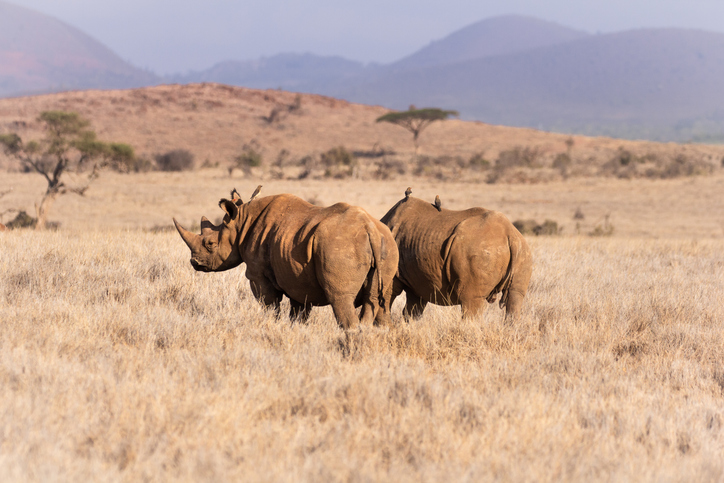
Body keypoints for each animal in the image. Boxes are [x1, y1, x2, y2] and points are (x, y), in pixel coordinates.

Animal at [173, 187, 398, 330]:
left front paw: (270, 325)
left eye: (210, 244)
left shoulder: (258, 275)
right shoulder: (296, 276)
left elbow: (269, 305)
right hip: (387, 244)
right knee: (377, 301)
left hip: (341, 246)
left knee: (340, 299)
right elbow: (298, 312)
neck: (241, 221)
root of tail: (370, 229)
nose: (195, 263)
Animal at [380, 192, 532, 321]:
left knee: (471, 300)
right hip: (522, 250)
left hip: (480, 251)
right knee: (515, 297)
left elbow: (386, 299)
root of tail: (510, 235)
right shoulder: (418, 279)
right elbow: (412, 309)